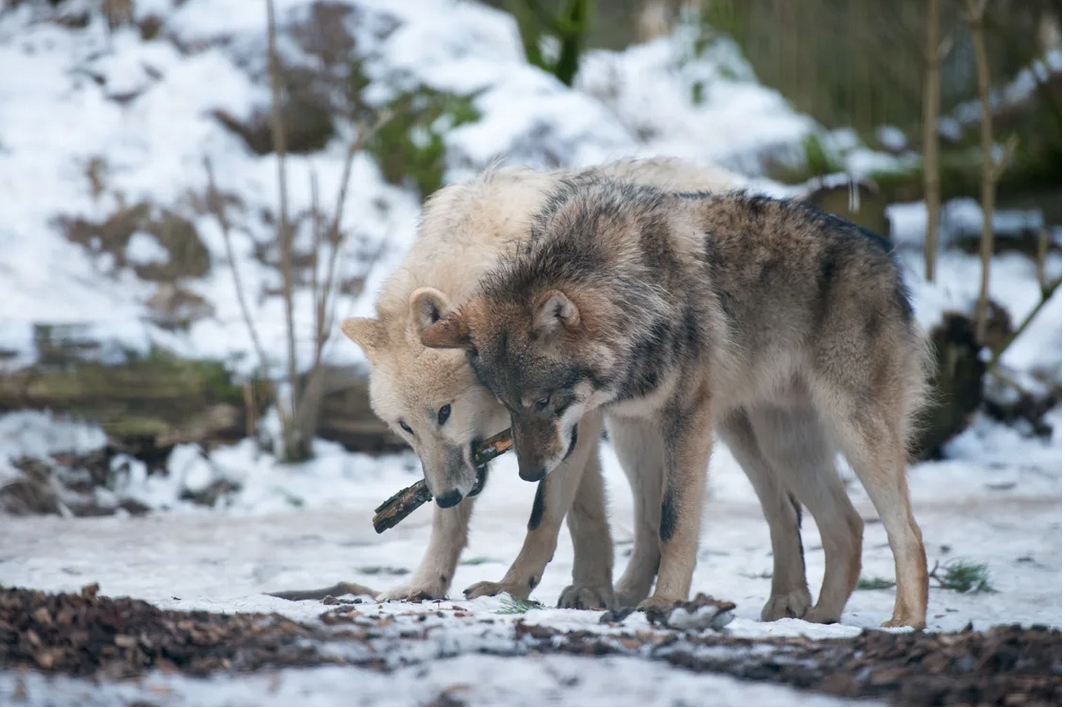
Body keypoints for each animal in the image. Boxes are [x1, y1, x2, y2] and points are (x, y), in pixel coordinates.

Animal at [340, 158, 741, 608]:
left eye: (444, 411)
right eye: (405, 427)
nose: (444, 495)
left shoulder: (574, 419)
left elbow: (560, 509)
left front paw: (584, 589)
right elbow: (471, 520)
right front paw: (425, 584)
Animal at [419, 176, 937, 630]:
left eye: (544, 400)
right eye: (508, 406)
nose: (527, 472)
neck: (634, 293)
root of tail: (887, 257)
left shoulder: (685, 421)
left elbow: (674, 521)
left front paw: (665, 600)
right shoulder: (584, 426)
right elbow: (543, 514)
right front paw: (509, 589)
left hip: (850, 429)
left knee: (906, 530)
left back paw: (905, 620)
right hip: (782, 445)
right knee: (845, 526)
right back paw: (818, 619)